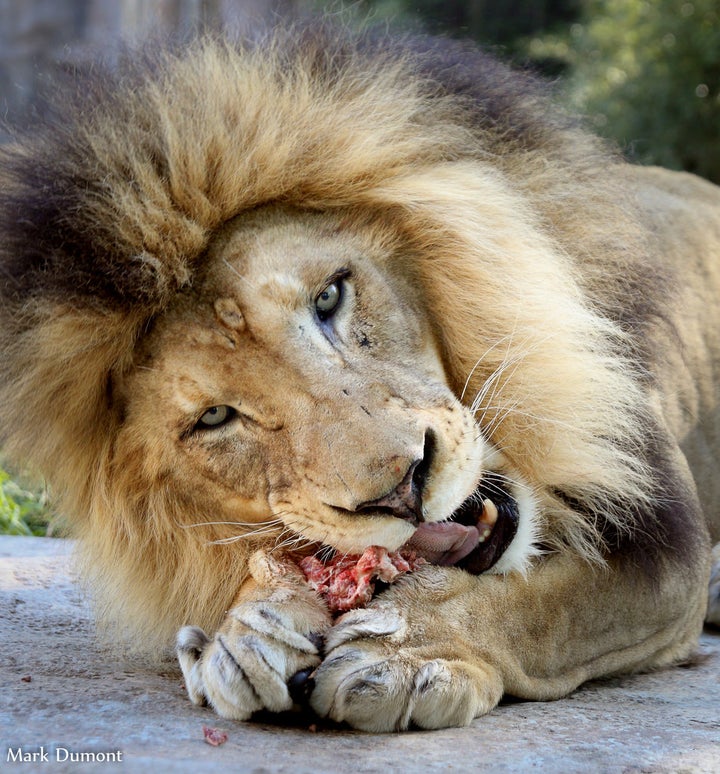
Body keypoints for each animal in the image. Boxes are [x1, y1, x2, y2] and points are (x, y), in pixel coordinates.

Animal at [0, 24, 716, 732]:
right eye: (214, 418)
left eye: (329, 298)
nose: (402, 490)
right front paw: (251, 630)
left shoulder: (663, 541)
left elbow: (541, 611)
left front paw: (407, 650)